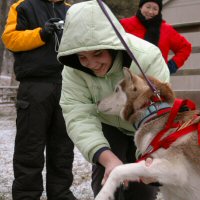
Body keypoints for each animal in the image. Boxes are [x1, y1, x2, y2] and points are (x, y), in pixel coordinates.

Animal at [95, 67, 200, 200]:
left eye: (116, 90)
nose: (97, 102)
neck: (152, 114)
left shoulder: (176, 170)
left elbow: (118, 169)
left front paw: (104, 193)